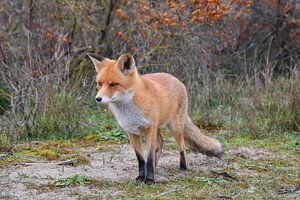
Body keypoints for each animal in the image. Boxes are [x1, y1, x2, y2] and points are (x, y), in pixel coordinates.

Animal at [88, 52, 224, 183]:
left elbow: (148, 158)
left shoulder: (149, 129)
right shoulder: (131, 132)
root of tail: (176, 79)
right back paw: (156, 166)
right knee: (161, 142)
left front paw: (149, 179)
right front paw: (141, 176)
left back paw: (183, 166)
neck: (130, 110)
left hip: (175, 127)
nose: (98, 98)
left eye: (113, 84)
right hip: (158, 128)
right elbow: (141, 158)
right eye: (99, 84)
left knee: (182, 145)